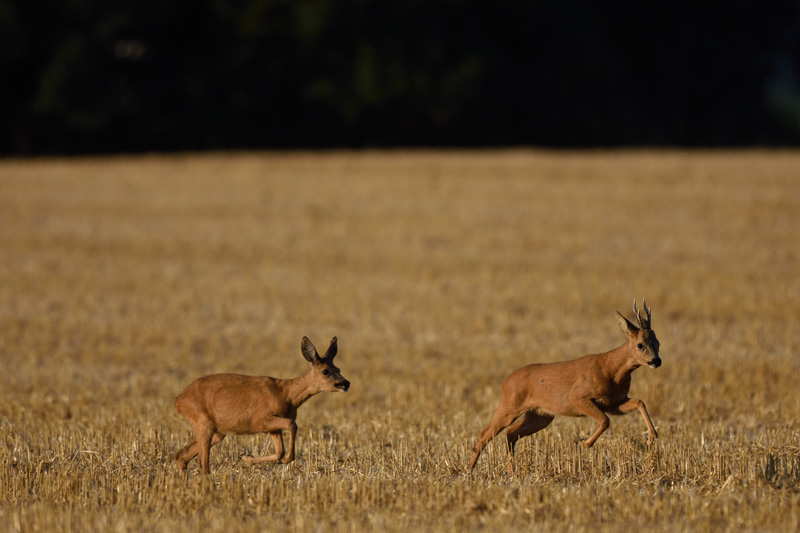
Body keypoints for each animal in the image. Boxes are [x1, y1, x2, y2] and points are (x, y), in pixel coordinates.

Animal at [175, 334, 350, 472]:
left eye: (339, 369)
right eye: (325, 371)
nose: (345, 383)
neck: (286, 394)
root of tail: (179, 400)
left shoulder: (272, 428)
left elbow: (279, 450)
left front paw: (246, 457)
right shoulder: (261, 420)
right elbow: (292, 425)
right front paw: (284, 459)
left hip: (218, 431)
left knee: (181, 455)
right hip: (204, 424)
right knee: (202, 466)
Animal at [466, 298, 660, 472]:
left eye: (657, 343)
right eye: (640, 344)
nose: (656, 360)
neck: (611, 370)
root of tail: (505, 382)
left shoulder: (614, 402)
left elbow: (639, 402)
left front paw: (652, 437)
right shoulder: (578, 396)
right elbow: (605, 421)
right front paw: (583, 443)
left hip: (540, 415)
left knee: (511, 433)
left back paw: (510, 470)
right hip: (510, 405)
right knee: (485, 434)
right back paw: (469, 470)